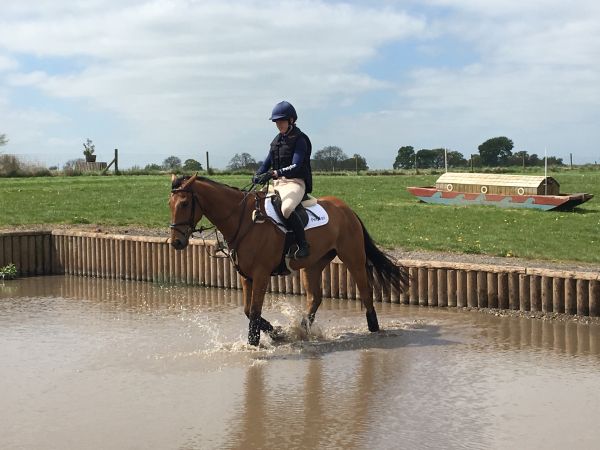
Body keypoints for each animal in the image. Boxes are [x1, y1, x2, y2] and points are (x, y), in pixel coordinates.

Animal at [171, 174, 410, 346]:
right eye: (169, 203)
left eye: (184, 204)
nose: (176, 242)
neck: (242, 220)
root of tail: (346, 209)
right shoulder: (246, 276)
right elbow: (249, 311)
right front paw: (278, 333)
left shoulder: (261, 274)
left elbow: (255, 312)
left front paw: (254, 343)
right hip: (313, 265)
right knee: (315, 298)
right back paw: (302, 331)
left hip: (353, 258)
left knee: (365, 292)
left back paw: (374, 329)